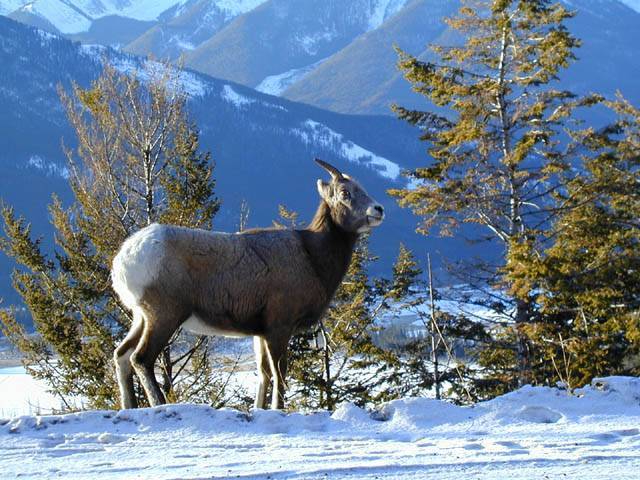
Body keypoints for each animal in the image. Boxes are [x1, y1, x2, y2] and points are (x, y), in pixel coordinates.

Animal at [111, 158, 384, 408]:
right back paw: (159, 404)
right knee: (141, 359)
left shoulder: (260, 332)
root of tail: (124, 260)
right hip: (164, 315)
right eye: (345, 192)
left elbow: (264, 374)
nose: (378, 209)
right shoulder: (279, 327)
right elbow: (279, 374)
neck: (311, 256)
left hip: (141, 317)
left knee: (121, 355)